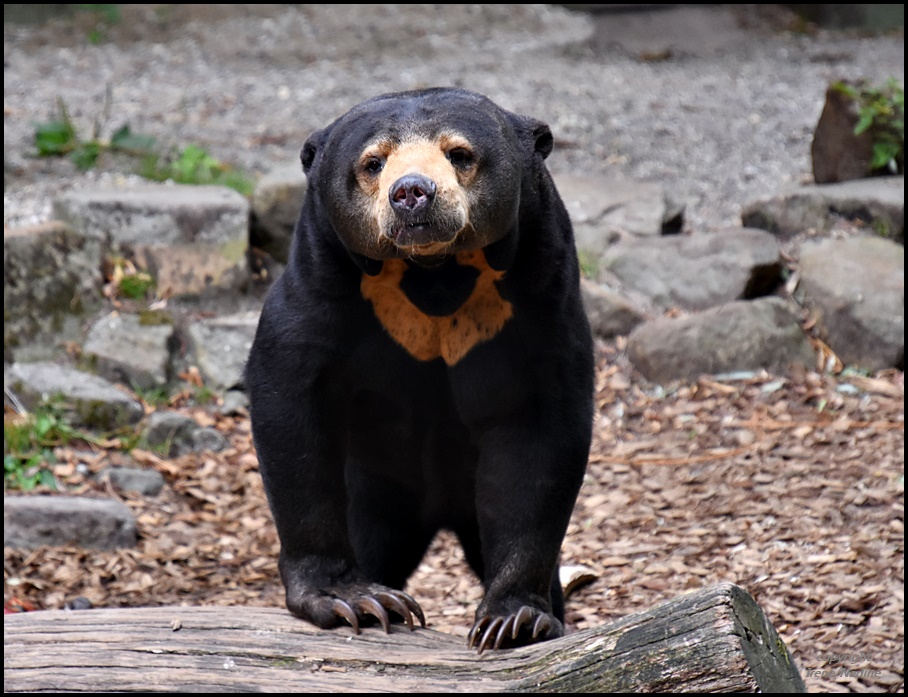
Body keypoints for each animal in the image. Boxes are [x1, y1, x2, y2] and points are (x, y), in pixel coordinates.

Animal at [245, 88, 592, 652]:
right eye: (373, 163)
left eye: (460, 154)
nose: (412, 193)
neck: (433, 271)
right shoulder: (319, 275)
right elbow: (289, 393)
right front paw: (351, 599)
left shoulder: (541, 288)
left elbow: (541, 434)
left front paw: (516, 619)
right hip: (375, 484)